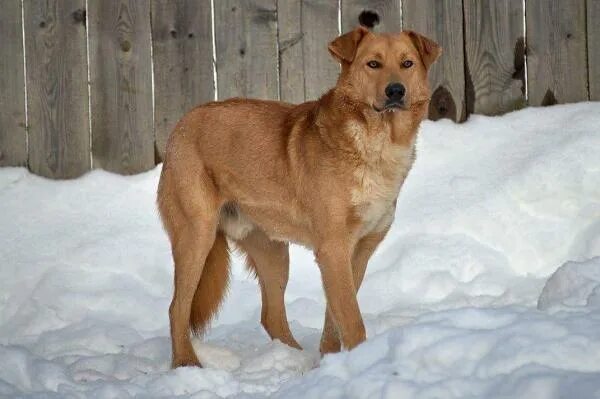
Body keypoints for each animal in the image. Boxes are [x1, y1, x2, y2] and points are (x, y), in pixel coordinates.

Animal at [157, 25, 442, 368]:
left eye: (407, 63)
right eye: (373, 64)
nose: (396, 91)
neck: (377, 144)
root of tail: (182, 123)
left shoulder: (357, 252)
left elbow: (334, 318)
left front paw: (332, 361)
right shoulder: (333, 249)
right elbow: (351, 320)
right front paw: (361, 363)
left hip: (273, 253)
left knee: (271, 316)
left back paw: (294, 360)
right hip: (197, 236)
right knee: (176, 308)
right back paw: (187, 363)